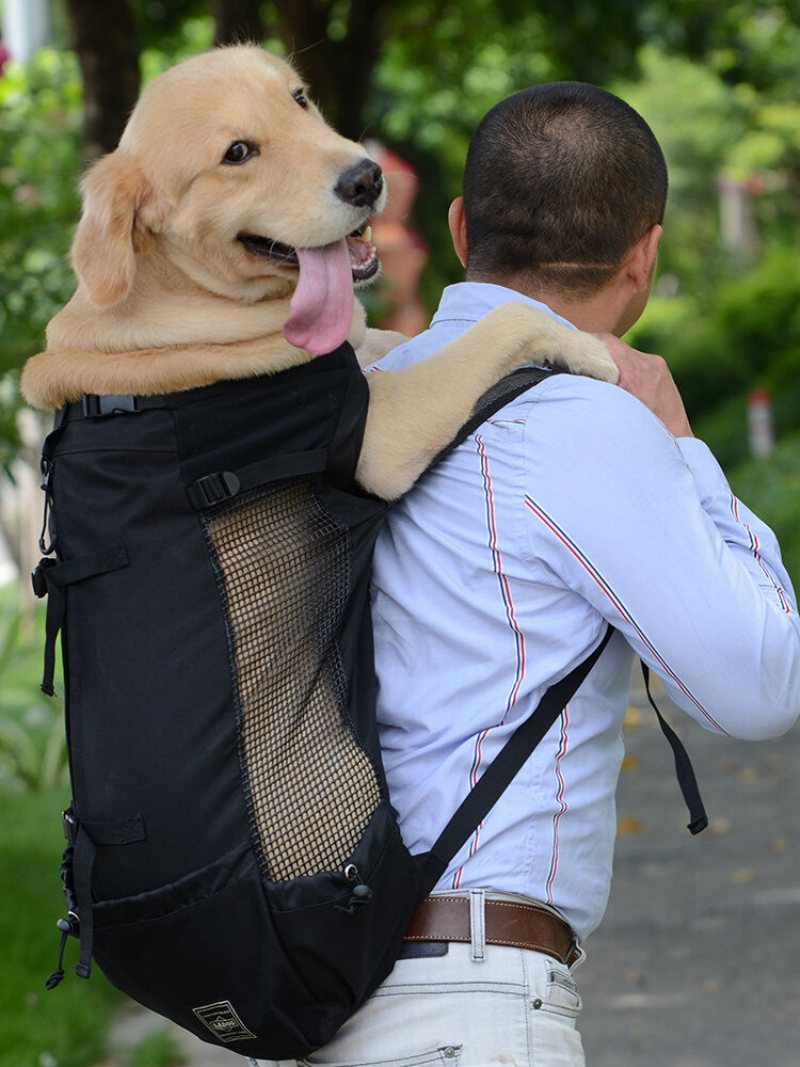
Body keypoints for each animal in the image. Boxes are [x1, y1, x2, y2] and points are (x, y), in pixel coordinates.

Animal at [21, 43, 618, 501]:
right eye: (237, 152)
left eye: (299, 98)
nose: (368, 179)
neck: (193, 293)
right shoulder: (381, 432)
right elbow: (509, 318)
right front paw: (589, 348)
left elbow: (396, 335)